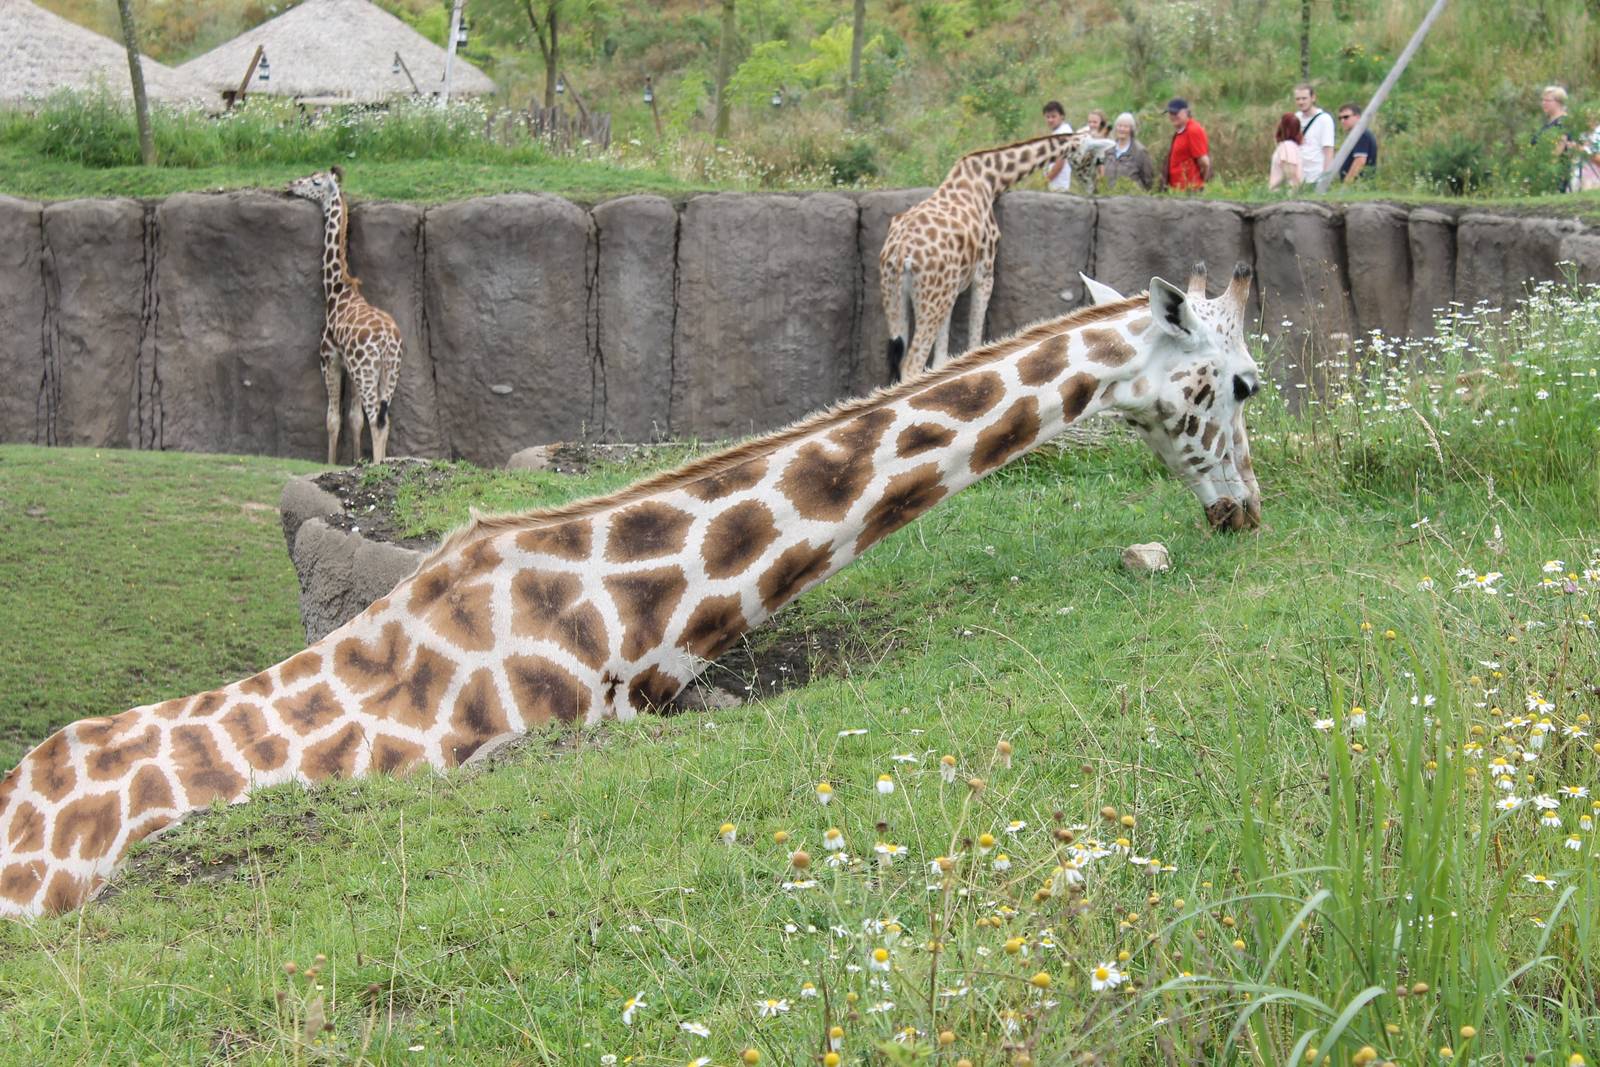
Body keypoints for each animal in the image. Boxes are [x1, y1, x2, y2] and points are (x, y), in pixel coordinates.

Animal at [287, 166, 403, 465]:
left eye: (315, 181)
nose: (290, 184)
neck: (338, 291)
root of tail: (388, 341)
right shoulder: (349, 367)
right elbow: (353, 418)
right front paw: (354, 461)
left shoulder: (329, 357)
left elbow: (332, 418)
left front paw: (331, 463)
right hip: (389, 370)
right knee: (384, 417)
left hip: (366, 369)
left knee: (376, 418)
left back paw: (378, 466)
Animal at [881, 131, 1114, 383]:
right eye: (1098, 159)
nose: (1094, 187)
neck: (989, 178)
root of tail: (901, 252)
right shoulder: (984, 272)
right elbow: (973, 344)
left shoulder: (951, 291)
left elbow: (941, 359)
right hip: (930, 298)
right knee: (911, 365)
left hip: (897, 297)